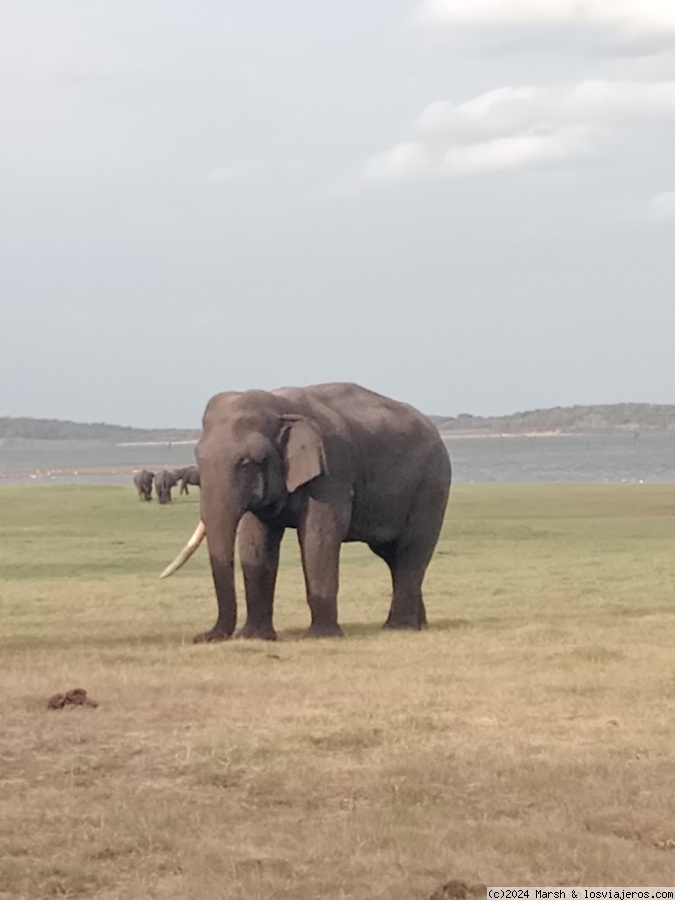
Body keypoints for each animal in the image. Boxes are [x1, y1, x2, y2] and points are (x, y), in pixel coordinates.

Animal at [160, 384, 452, 644]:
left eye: (247, 462)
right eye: (198, 457)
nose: (201, 637)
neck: (281, 405)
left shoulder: (332, 470)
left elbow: (318, 536)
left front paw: (320, 637)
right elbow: (256, 541)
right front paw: (255, 637)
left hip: (432, 486)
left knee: (411, 550)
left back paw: (398, 628)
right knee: (392, 556)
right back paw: (418, 625)